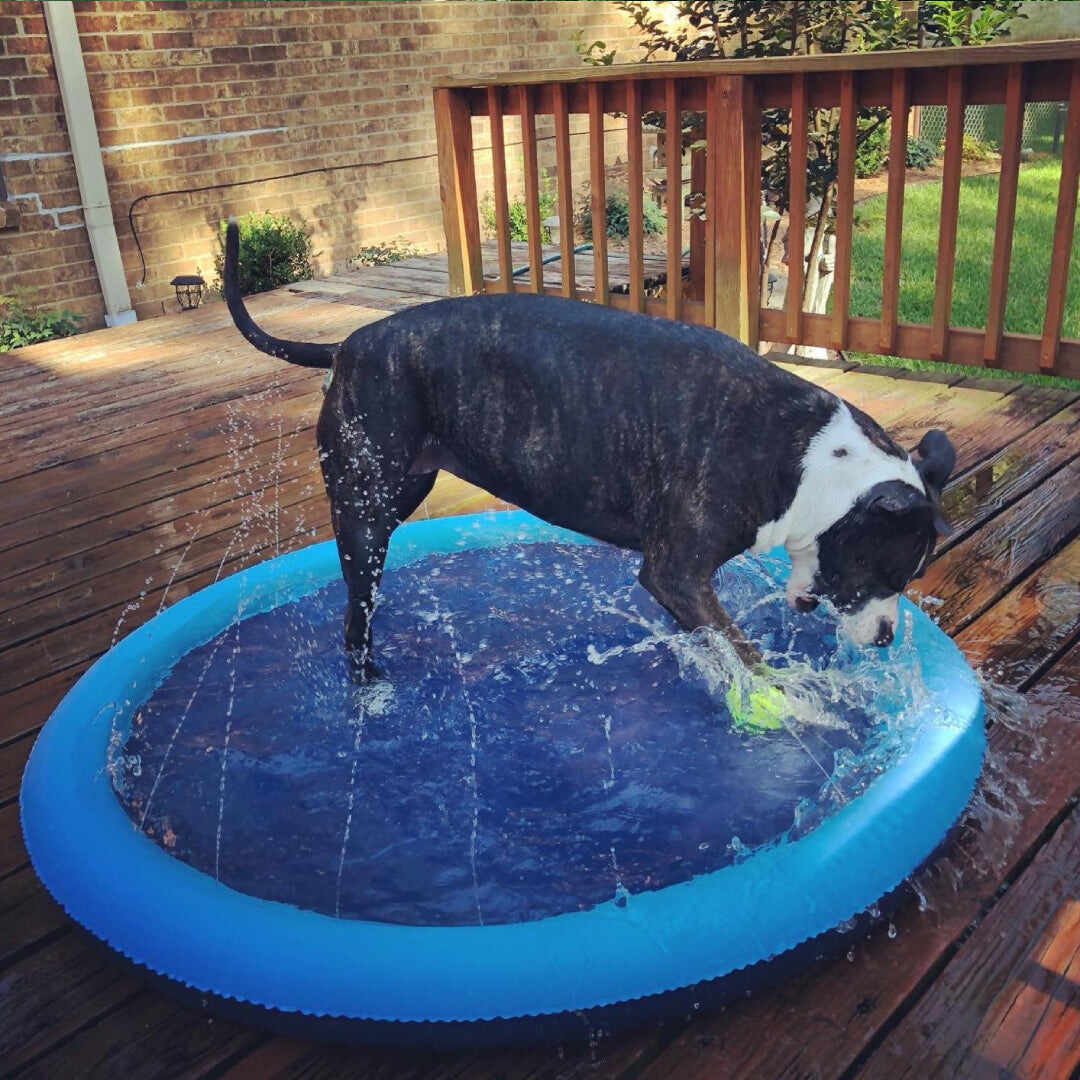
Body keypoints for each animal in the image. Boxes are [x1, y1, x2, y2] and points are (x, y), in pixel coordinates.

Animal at [223, 222, 950, 678]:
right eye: (888, 577)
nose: (887, 639)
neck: (813, 462)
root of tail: (349, 345)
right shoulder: (676, 572)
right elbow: (746, 653)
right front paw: (796, 707)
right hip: (365, 515)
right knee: (354, 620)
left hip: (397, 494)